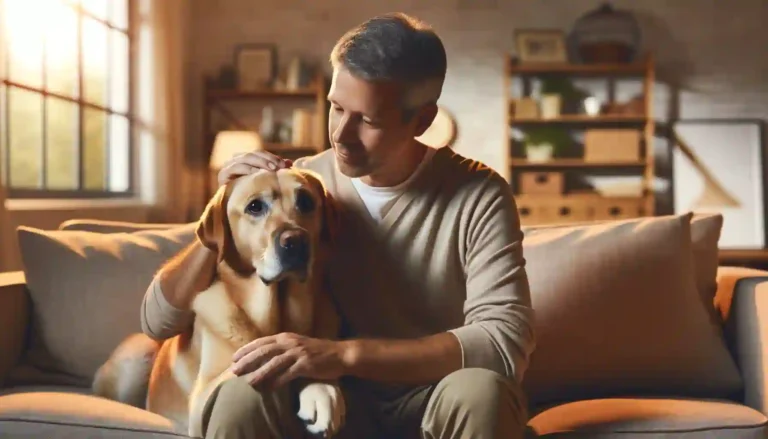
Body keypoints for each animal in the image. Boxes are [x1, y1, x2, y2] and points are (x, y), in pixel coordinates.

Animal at [91, 168, 346, 436]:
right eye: (255, 207)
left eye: (306, 201)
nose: (295, 240)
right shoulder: (202, 398)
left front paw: (322, 391)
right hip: (138, 354)